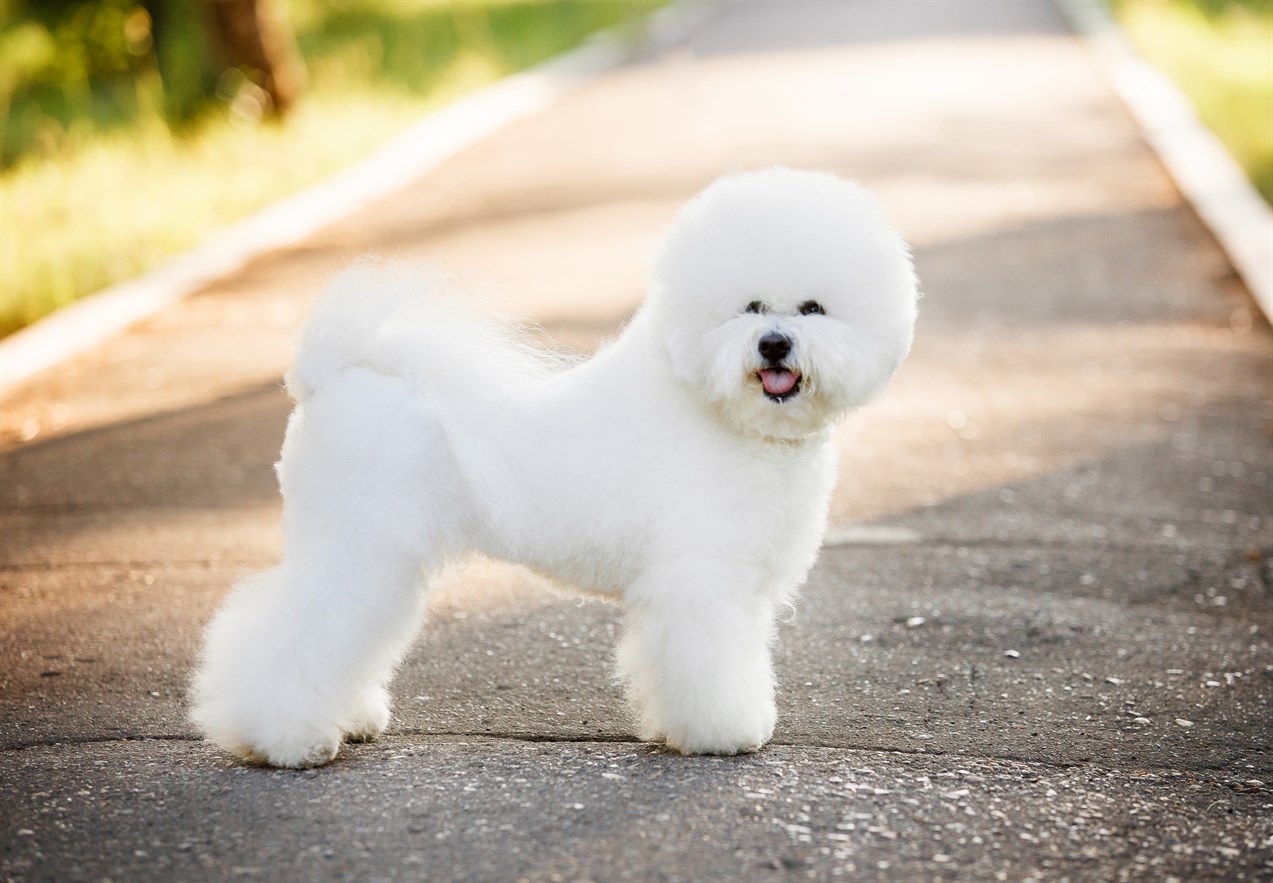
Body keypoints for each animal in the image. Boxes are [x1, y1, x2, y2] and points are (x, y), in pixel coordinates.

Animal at [188, 165, 916, 768]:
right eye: (751, 306)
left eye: (813, 308)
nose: (773, 344)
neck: (719, 413)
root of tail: (327, 379)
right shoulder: (699, 578)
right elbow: (709, 665)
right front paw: (725, 733)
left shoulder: (738, 582)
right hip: (358, 545)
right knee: (295, 630)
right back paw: (286, 740)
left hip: (377, 558)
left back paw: (351, 717)